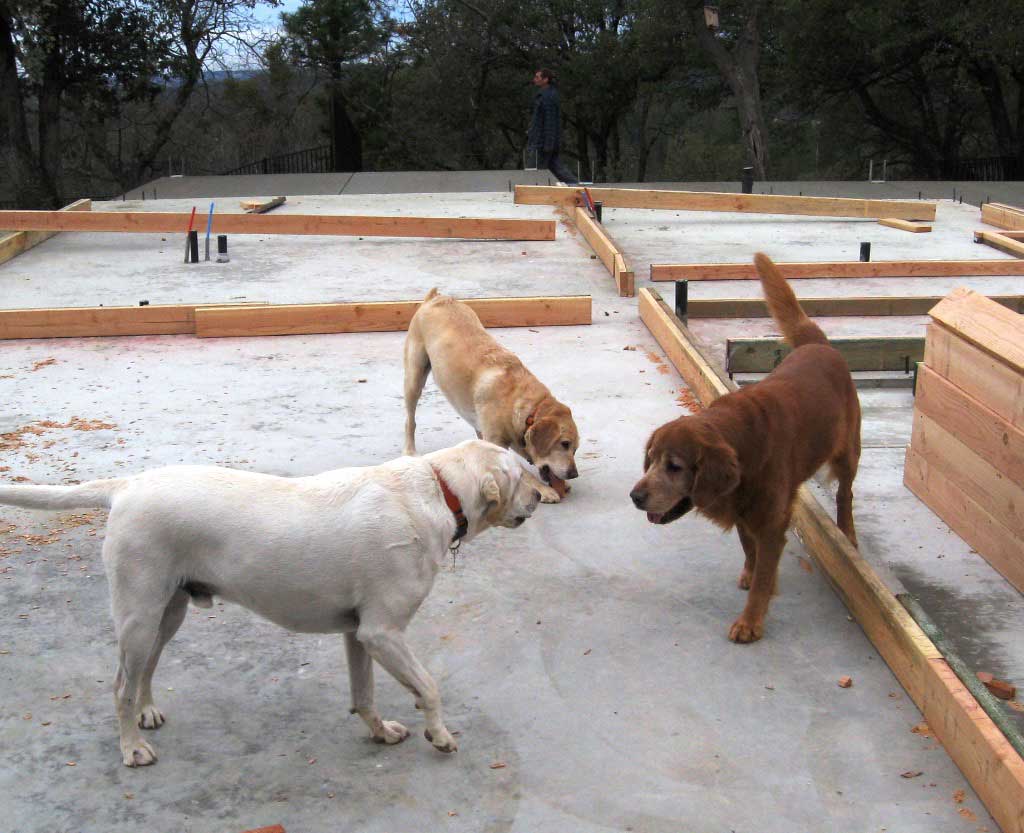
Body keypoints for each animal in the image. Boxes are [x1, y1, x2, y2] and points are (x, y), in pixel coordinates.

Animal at [0, 438, 544, 770]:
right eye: (521, 474)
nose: (542, 496)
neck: (438, 488)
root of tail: (128, 485)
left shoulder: (359, 634)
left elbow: (363, 695)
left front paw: (381, 733)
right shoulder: (384, 632)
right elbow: (428, 688)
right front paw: (441, 735)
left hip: (166, 614)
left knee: (145, 672)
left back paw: (147, 713)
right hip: (137, 615)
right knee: (120, 687)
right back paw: (133, 747)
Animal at [403, 288, 581, 504]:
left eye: (575, 449)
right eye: (565, 444)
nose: (574, 474)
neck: (520, 404)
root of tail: (436, 297)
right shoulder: (496, 441)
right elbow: (521, 470)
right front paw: (544, 490)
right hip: (414, 378)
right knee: (410, 420)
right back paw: (410, 451)